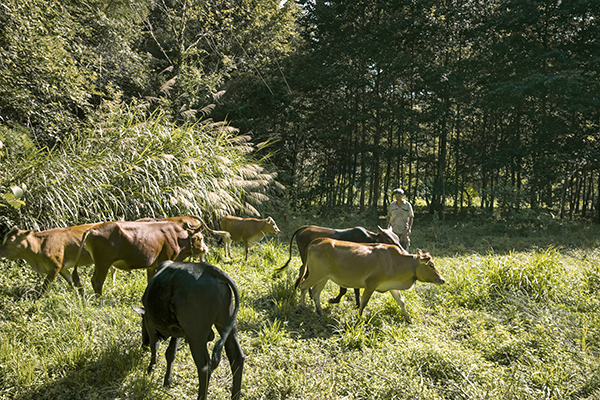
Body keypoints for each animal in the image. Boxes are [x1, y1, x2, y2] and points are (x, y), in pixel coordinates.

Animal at [77, 220, 209, 296]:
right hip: (103, 263)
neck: (177, 237)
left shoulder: (151, 266)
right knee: (97, 282)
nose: (206, 249)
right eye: (200, 238)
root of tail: (93, 228)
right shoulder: (166, 260)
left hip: (100, 263)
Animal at [132, 260, 244, 400]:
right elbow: (170, 353)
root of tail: (210, 269)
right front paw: (167, 381)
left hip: (196, 335)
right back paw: (235, 395)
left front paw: (150, 369)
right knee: (237, 358)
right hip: (227, 324)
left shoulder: (151, 325)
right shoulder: (177, 331)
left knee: (204, 366)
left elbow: (155, 348)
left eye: (142, 324)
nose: (143, 344)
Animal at [274, 225, 408, 306]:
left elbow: (356, 289)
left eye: (397, 239)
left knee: (303, 272)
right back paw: (310, 294)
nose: (404, 252)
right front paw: (335, 300)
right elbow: (345, 289)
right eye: (389, 240)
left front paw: (357, 304)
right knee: (305, 274)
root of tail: (304, 228)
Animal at [296, 238, 442, 322]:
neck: (395, 262)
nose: (442, 280)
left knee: (315, 291)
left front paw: (408, 319)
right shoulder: (371, 284)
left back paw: (320, 311)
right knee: (303, 285)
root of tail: (317, 241)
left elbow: (401, 302)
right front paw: (360, 318)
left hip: (324, 277)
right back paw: (302, 306)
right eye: (431, 265)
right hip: (316, 274)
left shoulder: (392, 286)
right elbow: (363, 302)